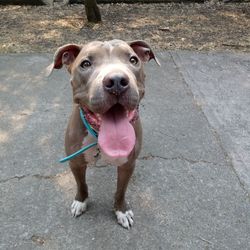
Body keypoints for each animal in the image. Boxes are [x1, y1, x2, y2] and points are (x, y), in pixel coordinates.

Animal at [47, 39, 159, 229]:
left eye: (133, 60)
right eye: (85, 64)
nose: (116, 80)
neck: (98, 134)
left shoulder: (128, 164)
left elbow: (121, 190)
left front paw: (121, 210)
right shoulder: (75, 162)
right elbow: (81, 184)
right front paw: (81, 201)